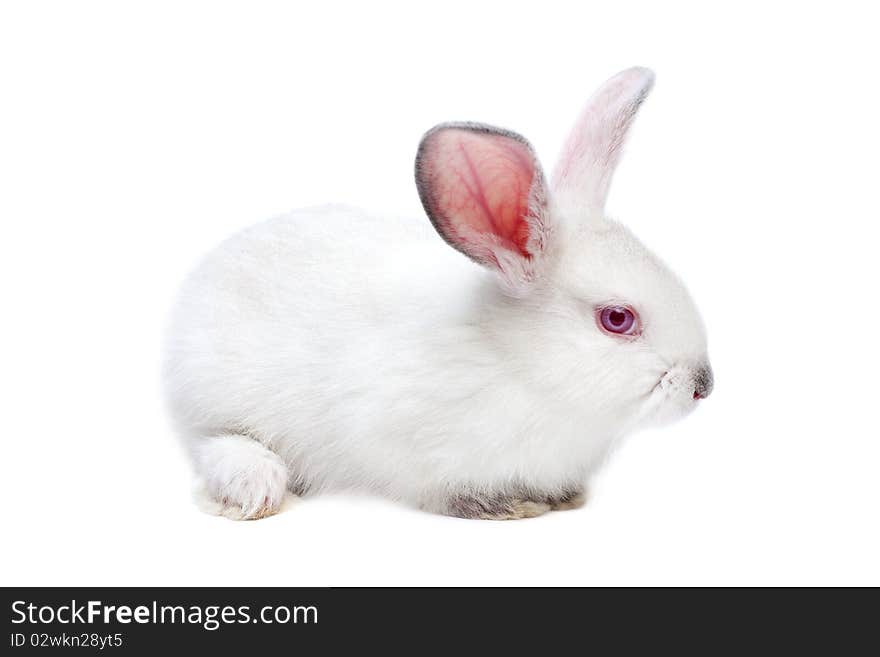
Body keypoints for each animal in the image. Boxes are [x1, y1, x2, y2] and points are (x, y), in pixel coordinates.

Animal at [165, 66, 712, 516]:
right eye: (617, 319)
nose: (703, 385)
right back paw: (255, 486)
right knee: (216, 442)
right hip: (216, 399)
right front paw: (508, 506)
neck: (518, 364)